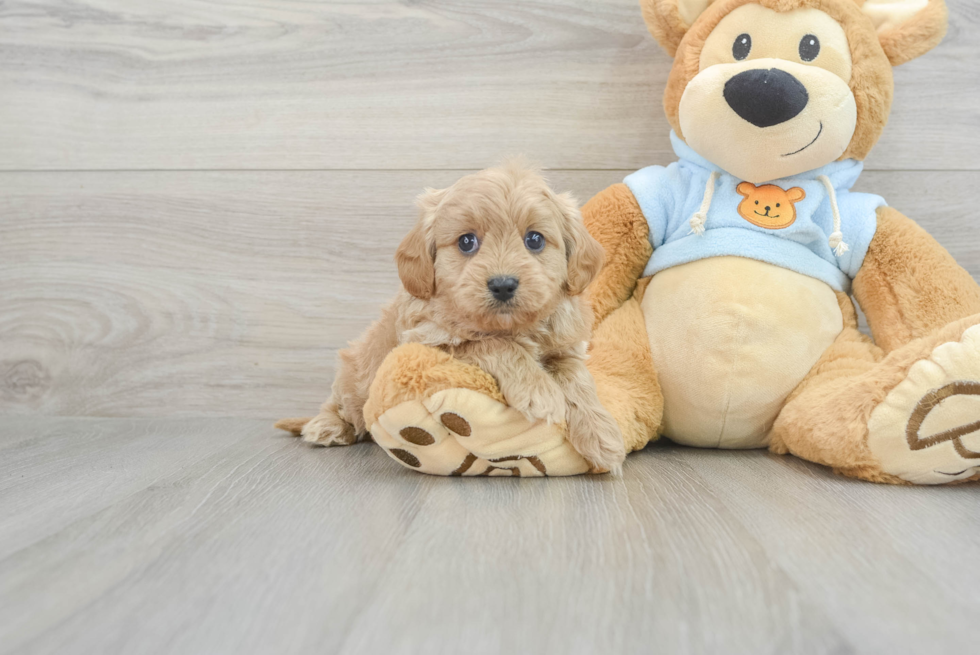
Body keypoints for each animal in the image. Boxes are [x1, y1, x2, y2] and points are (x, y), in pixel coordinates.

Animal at [296, 162, 628, 474]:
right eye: (466, 242)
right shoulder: (432, 341)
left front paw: (602, 434)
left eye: (534, 240)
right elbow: (493, 344)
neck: (511, 326)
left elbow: (576, 379)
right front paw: (538, 391)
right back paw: (326, 427)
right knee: (340, 404)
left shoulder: (566, 350)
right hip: (353, 376)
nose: (503, 284)